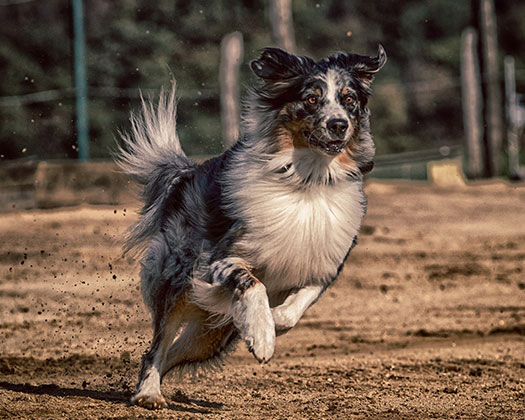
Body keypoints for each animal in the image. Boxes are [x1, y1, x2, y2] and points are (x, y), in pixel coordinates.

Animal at [116, 46, 384, 410]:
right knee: (156, 348)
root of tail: (188, 174)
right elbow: (253, 283)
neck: (307, 181)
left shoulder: (323, 267)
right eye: (311, 99)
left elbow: (294, 309)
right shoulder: (219, 259)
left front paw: (269, 325)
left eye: (349, 99)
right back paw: (148, 394)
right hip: (177, 281)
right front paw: (261, 335)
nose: (338, 124)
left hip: (209, 337)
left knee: (170, 354)